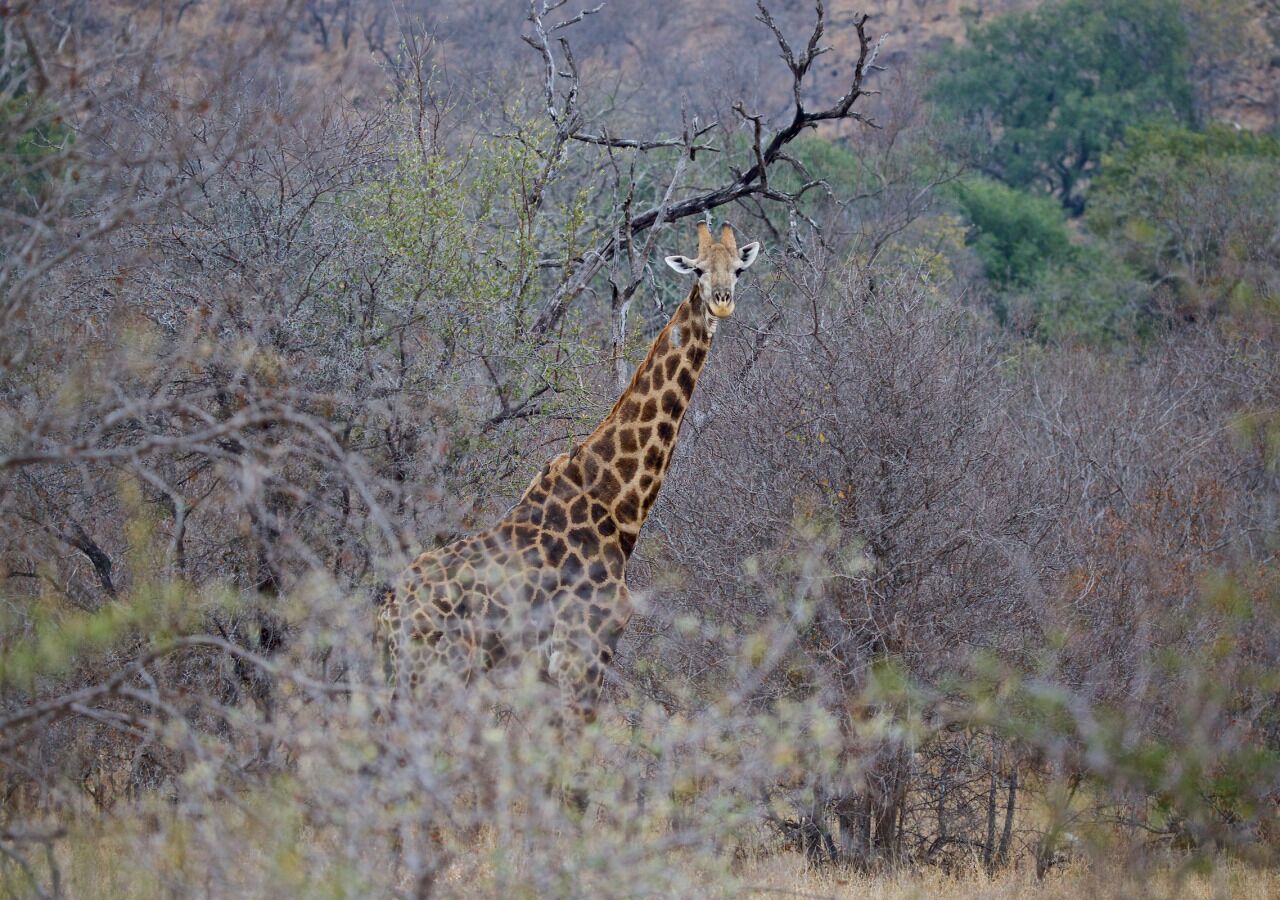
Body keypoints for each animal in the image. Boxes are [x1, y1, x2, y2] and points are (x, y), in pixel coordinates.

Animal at [378, 222, 762, 721]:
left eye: (738, 269)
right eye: (696, 269)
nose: (721, 302)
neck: (618, 504)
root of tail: (386, 613)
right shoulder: (582, 653)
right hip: (436, 677)